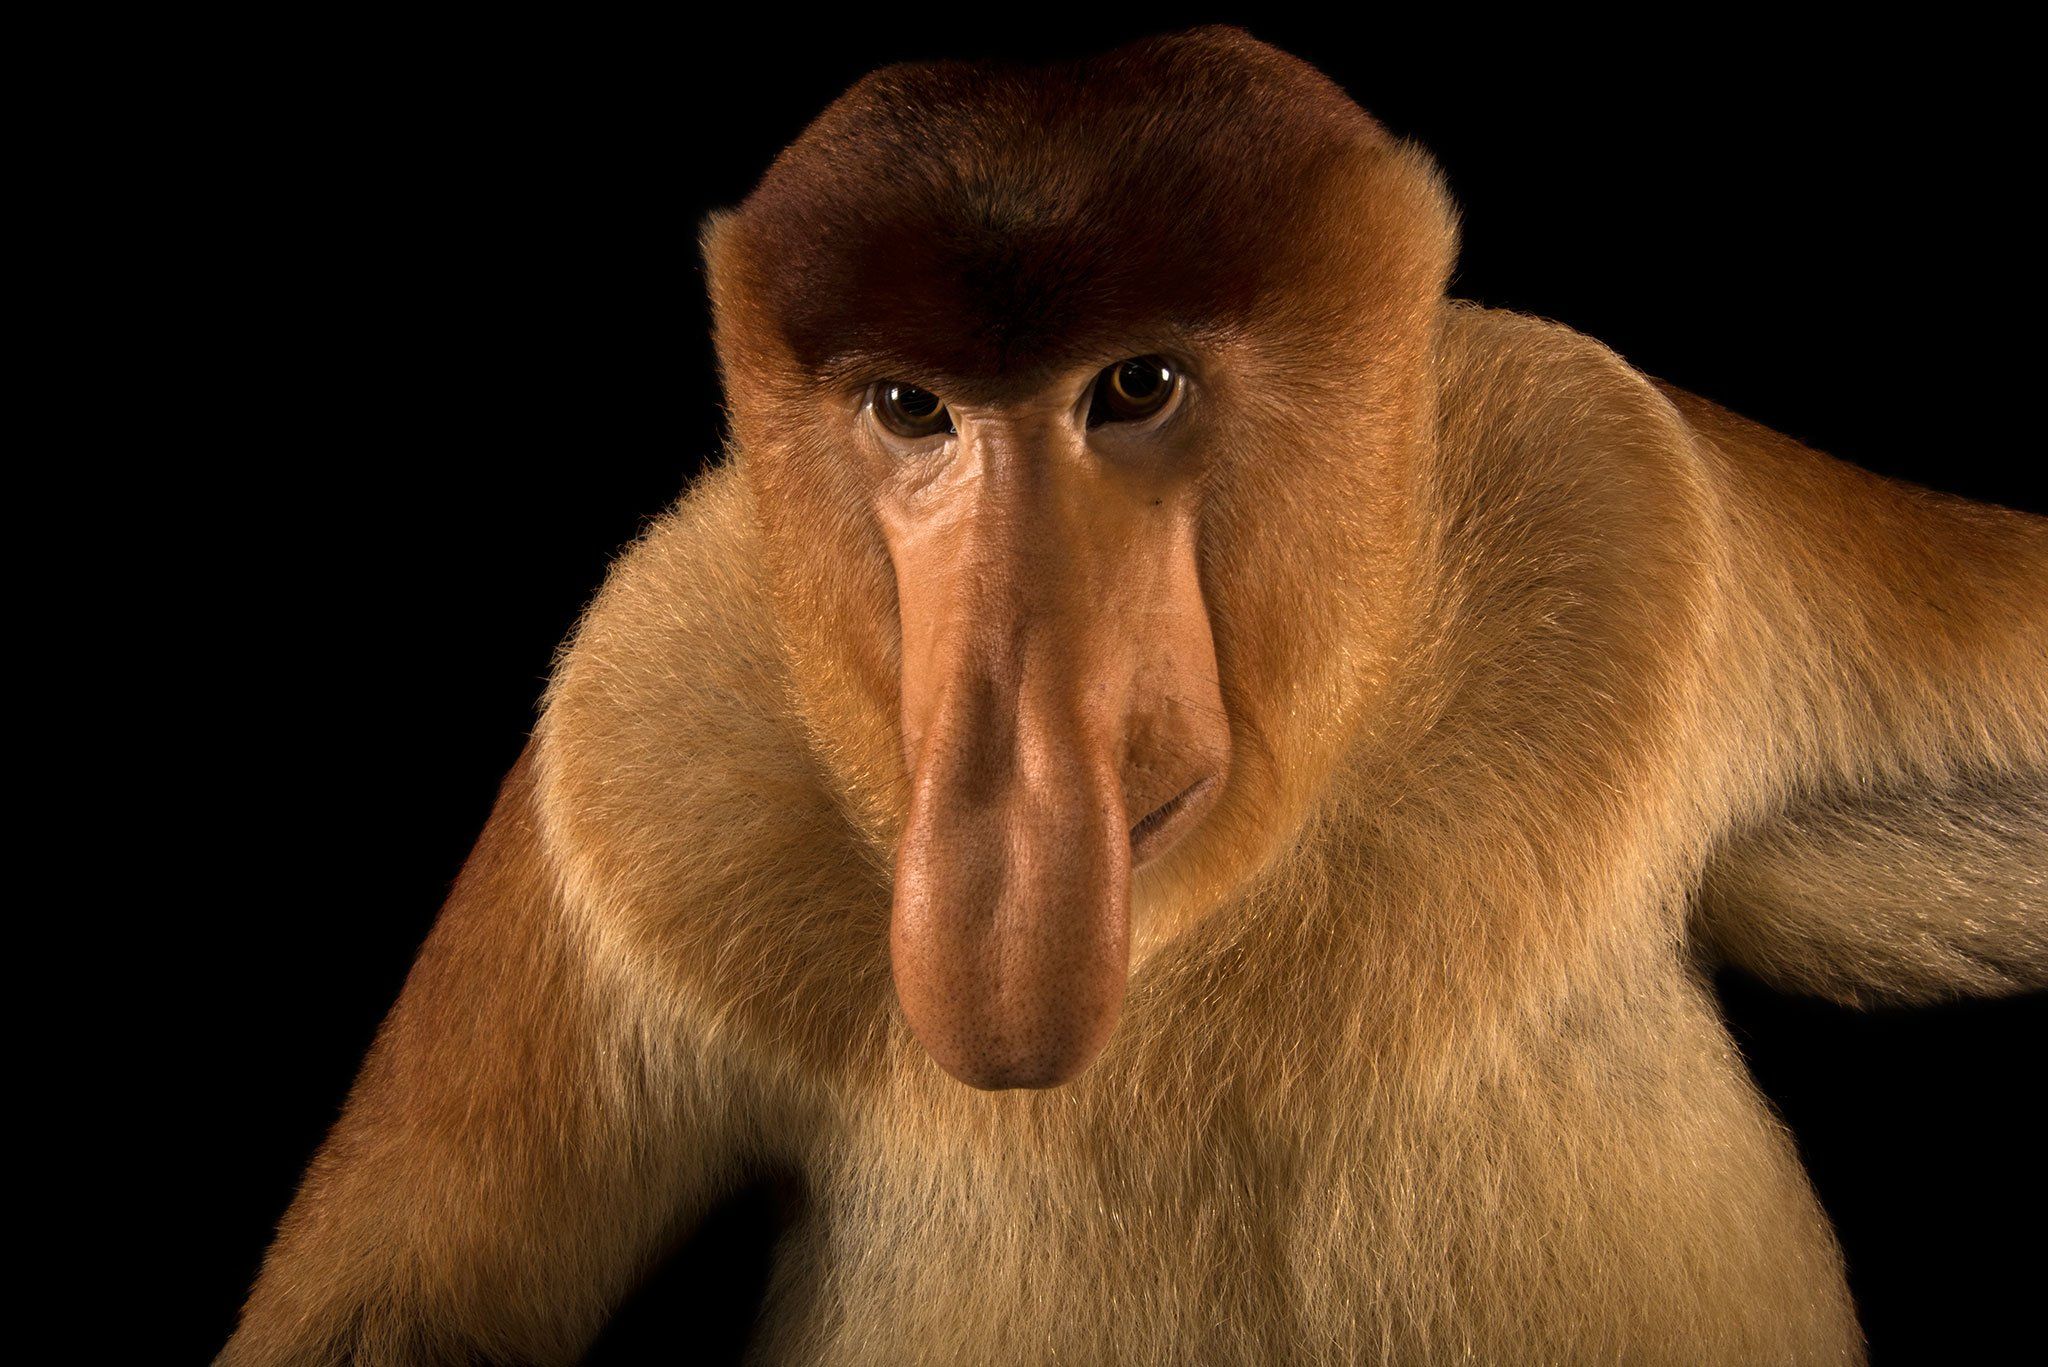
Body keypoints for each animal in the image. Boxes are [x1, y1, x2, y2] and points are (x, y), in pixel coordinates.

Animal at [219, 26, 2046, 1366]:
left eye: (1138, 385)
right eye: (911, 408)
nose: (1021, 765)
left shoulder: (1642, 506)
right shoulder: (627, 740)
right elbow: (385, 1312)